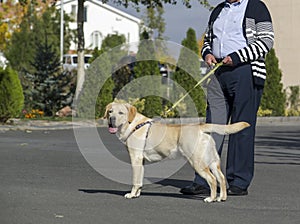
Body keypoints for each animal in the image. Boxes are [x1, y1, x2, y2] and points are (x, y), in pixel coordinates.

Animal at [104, 102, 250, 202]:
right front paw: (137, 193)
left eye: (121, 113)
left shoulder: (135, 157)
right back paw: (222, 197)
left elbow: (135, 179)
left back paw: (211, 198)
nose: (111, 120)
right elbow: (139, 179)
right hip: (212, 161)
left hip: (197, 162)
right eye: (110, 111)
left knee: (212, 179)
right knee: (221, 177)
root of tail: (201, 127)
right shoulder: (141, 161)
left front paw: (131, 194)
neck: (133, 124)